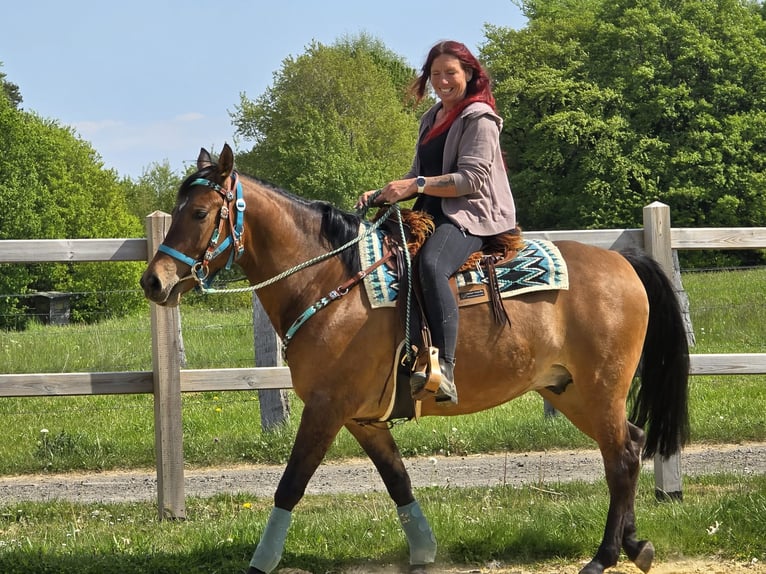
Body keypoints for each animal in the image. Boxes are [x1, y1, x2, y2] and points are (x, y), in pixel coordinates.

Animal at [140, 144, 690, 574]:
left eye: (199, 213)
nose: (154, 281)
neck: (334, 283)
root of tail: (625, 261)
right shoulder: (362, 417)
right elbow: (398, 479)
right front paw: (424, 551)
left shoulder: (326, 408)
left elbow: (290, 484)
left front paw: (261, 561)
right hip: (570, 389)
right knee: (628, 445)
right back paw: (634, 545)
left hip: (600, 386)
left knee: (621, 455)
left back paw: (604, 556)